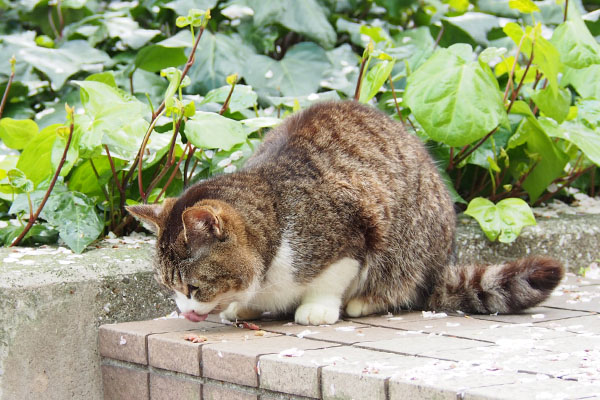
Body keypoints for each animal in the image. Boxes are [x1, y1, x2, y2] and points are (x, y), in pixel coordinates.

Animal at [126, 100, 564, 324]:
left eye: (192, 288)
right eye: (168, 287)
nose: (185, 313)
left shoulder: (353, 231)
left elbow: (330, 278)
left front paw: (316, 308)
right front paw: (245, 305)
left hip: (412, 242)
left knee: (405, 284)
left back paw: (367, 300)